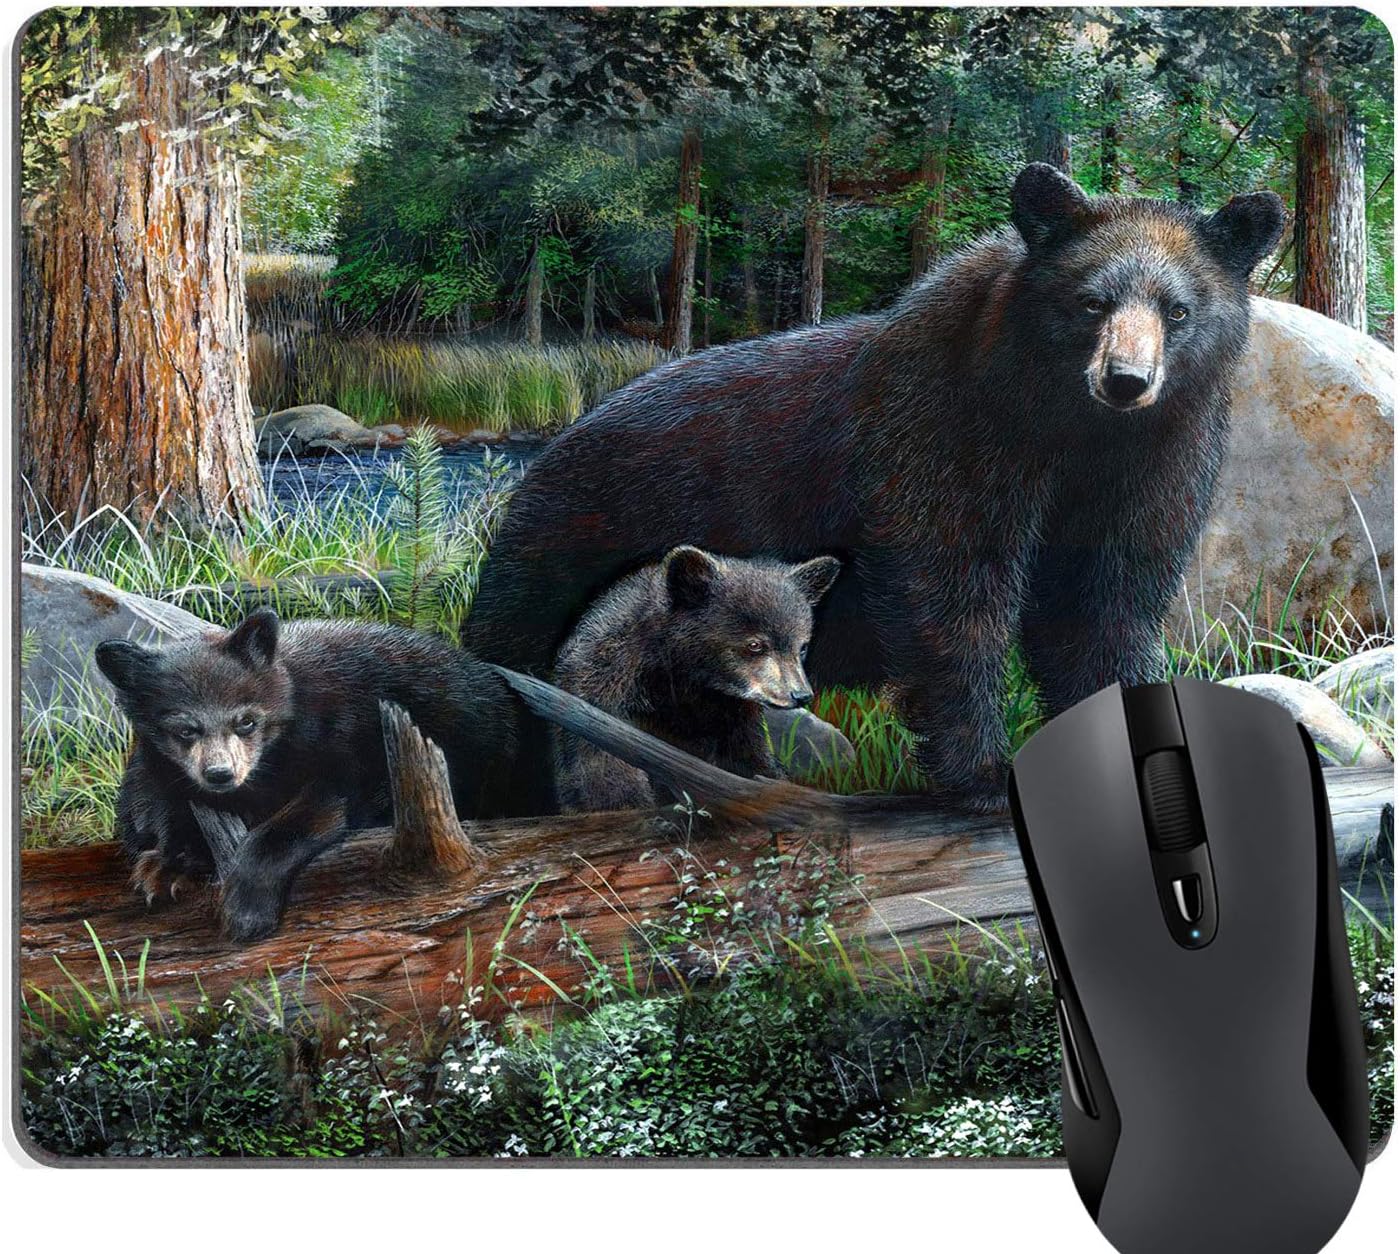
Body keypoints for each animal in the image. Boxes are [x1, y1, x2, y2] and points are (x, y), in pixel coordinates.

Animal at [96, 609, 518, 941]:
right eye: (185, 729)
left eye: (246, 721)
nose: (220, 773)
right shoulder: (157, 769)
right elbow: (153, 805)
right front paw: (167, 866)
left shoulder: (347, 738)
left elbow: (322, 806)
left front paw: (246, 910)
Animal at [553, 545, 842, 812]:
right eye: (755, 645)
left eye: (802, 646)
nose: (800, 694)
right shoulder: (605, 687)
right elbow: (603, 767)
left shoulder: (732, 714)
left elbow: (749, 757)